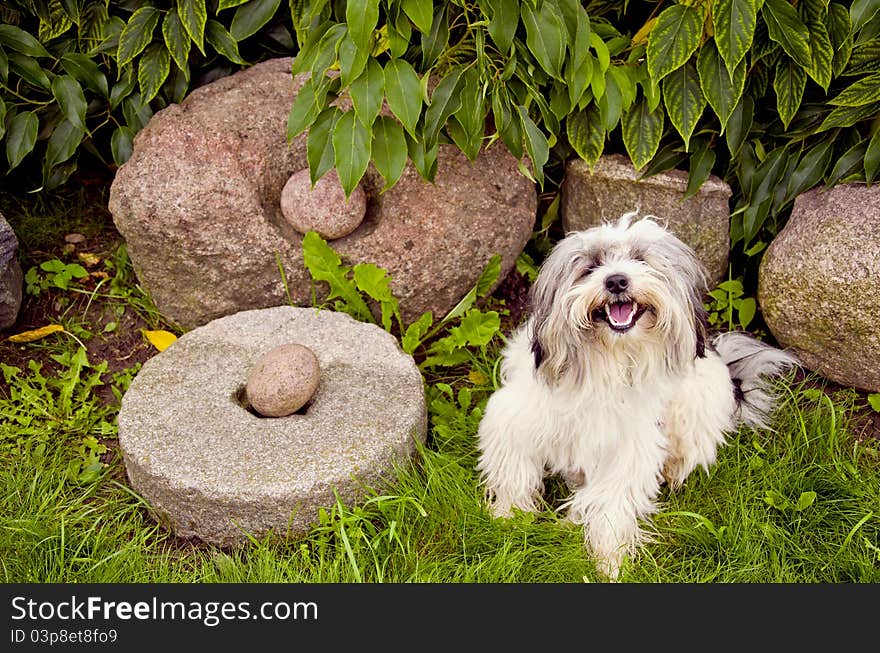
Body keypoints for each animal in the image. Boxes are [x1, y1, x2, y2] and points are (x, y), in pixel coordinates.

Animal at [474, 214, 796, 576]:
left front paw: (609, 561)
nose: (616, 281)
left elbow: (612, 504)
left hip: (695, 405)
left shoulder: (627, 451)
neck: (609, 361)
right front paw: (508, 519)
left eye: (641, 260)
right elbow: (513, 473)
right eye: (591, 267)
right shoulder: (514, 419)